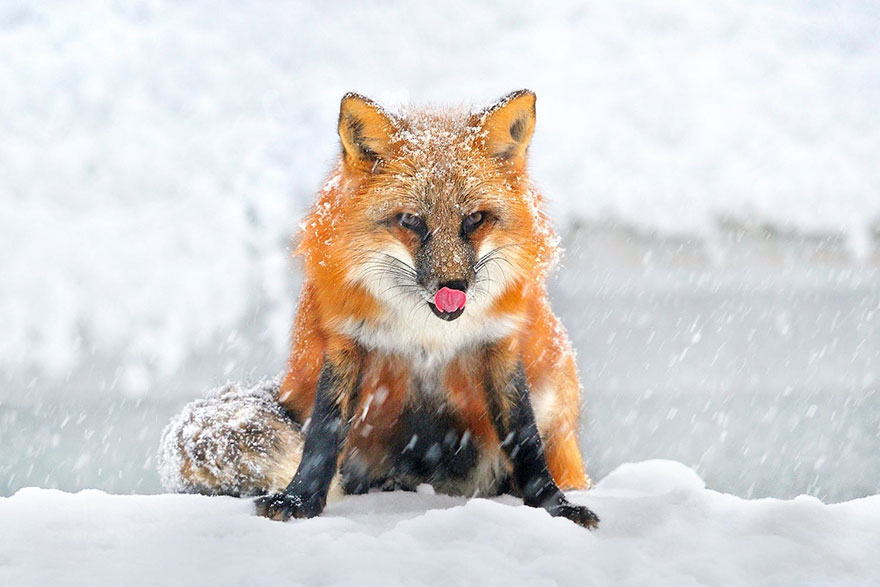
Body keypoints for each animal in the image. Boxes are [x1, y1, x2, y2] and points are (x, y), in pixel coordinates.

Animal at [158, 89, 599, 528]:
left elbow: (525, 441)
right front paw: (300, 499)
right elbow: (323, 434)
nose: (453, 288)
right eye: (411, 221)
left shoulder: (499, 343)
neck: (427, 330)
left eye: (475, 219)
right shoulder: (347, 340)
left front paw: (555, 506)